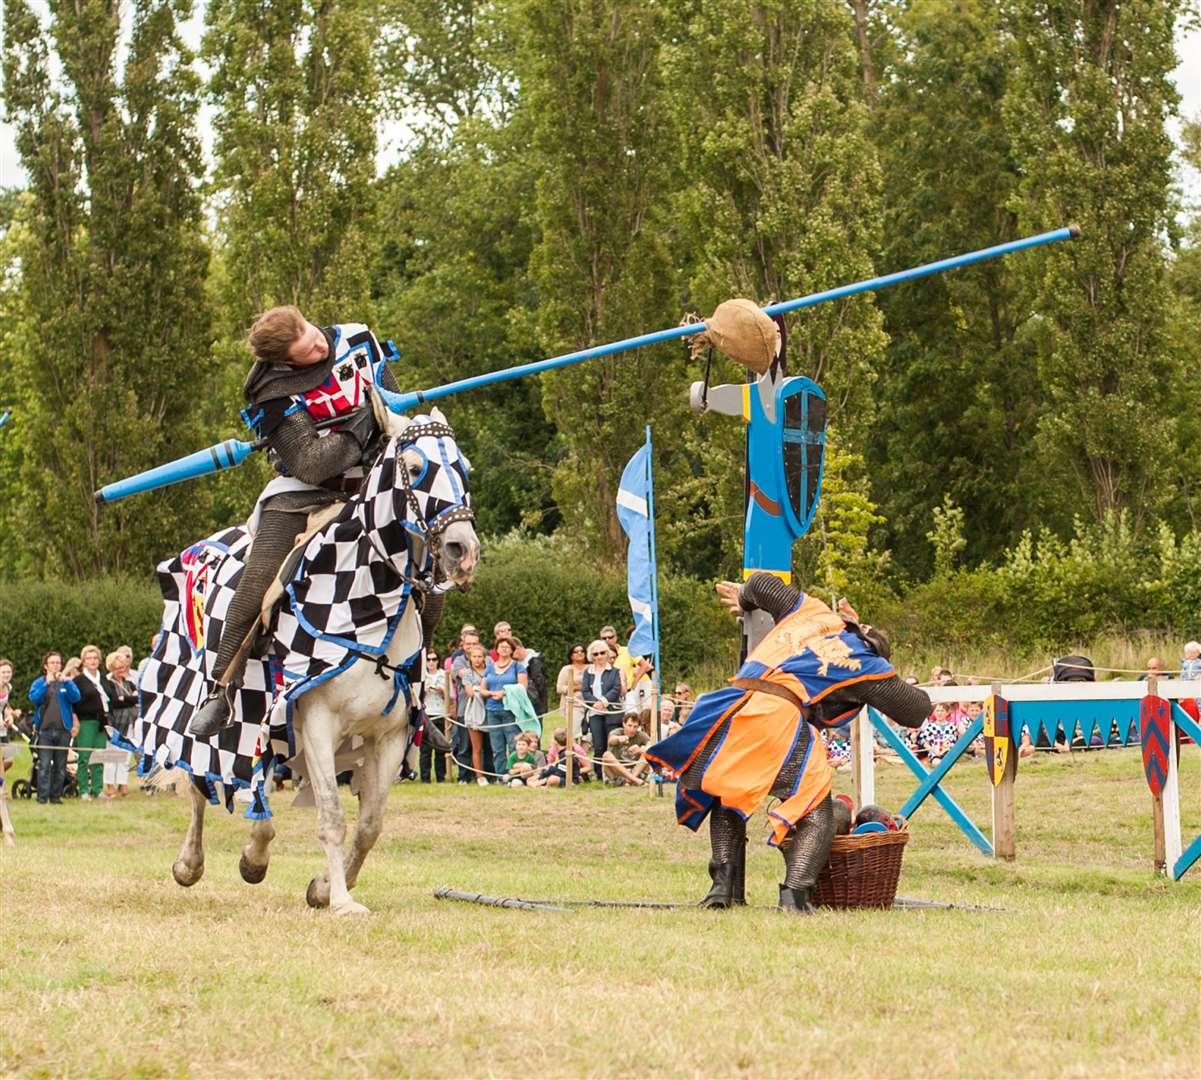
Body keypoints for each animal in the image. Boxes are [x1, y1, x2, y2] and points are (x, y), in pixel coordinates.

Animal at [169, 391, 477, 917]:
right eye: (416, 467)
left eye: (464, 469)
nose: (463, 550)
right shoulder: (314, 719)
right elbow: (333, 815)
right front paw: (342, 902)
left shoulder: (390, 735)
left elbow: (371, 823)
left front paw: (324, 887)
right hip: (217, 710)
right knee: (197, 779)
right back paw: (190, 863)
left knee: (262, 793)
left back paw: (255, 855)